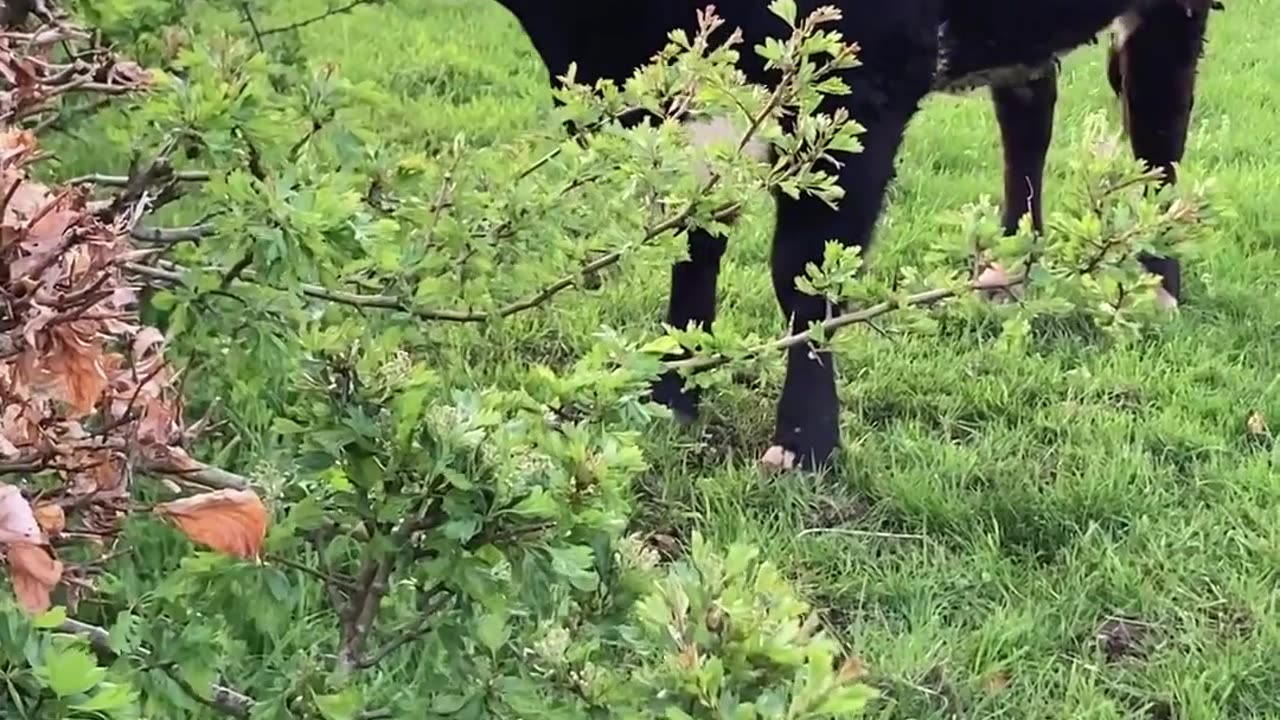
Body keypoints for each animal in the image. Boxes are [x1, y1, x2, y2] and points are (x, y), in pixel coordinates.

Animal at [489, 0, 1217, 471]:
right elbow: (692, 242)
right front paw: (672, 392)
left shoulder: (862, 83)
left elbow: (803, 270)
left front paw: (806, 442)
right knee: (1030, 111)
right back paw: (1008, 271)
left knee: (1158, 124)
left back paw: (1158, 285)